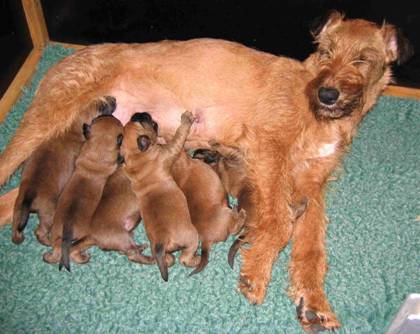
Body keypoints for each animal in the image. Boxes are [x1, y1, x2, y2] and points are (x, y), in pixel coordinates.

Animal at [11, 96, 116, 245]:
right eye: (102, 108)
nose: (114, 99)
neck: (72, 129)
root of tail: (30, 195)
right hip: (47, 212)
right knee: (40, 232)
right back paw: (48, 241)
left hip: (18, 208)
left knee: (16, 227)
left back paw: (18, 238)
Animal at [121, 111, 200, 280]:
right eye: (142, 121)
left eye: (135, 120)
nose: (139, 113)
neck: (136, 157)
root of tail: (162, 242)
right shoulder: (170, 150)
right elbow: (179, 135)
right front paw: (185, 120)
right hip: (192, 236)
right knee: (185, 257)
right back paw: (195, 260)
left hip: (159, 251)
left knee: (168, 260)